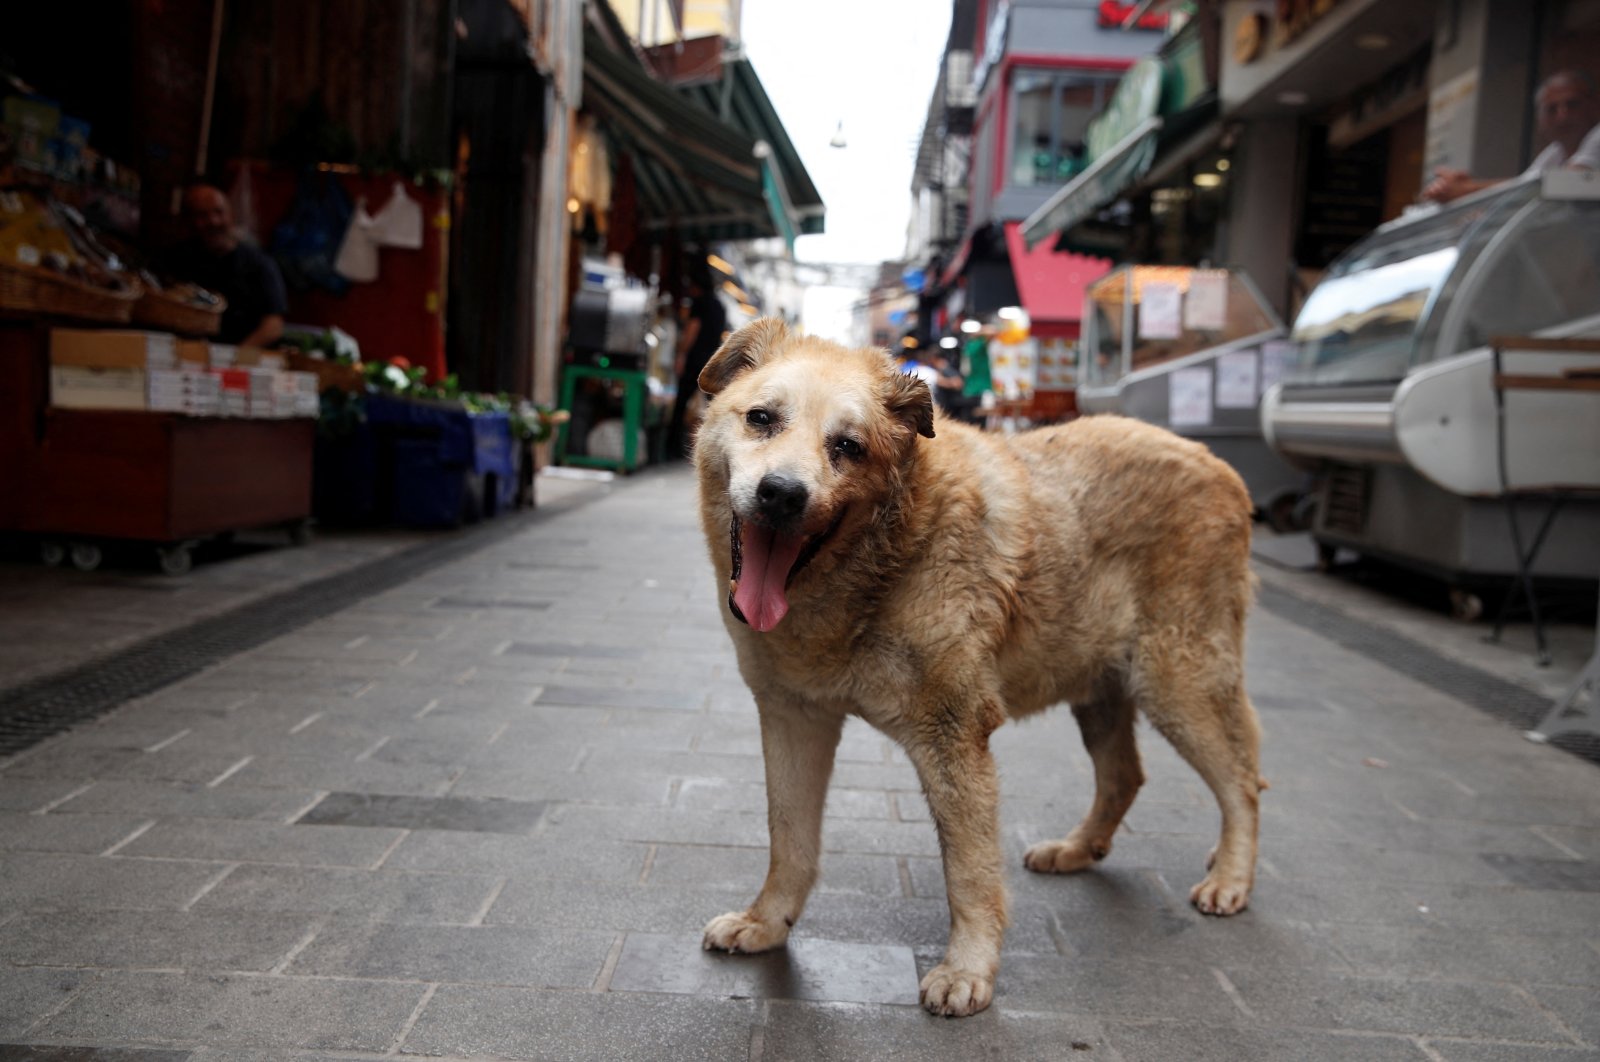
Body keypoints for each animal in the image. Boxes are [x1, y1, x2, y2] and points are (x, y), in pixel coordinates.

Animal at [691, 319, 1260, 1017]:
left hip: (1178, 683)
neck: (888, 555)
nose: (781, 495)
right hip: (1101, 688)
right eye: (762, 419)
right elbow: (789, 837)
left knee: (1243, 782)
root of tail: (1218, 465)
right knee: (1126, 775)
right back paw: (1078, 850)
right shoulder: (794, 717)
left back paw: (1231, 877)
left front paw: (968, 970)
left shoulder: (955, 735)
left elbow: (969, 872)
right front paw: (767, 922)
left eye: (848, 446)